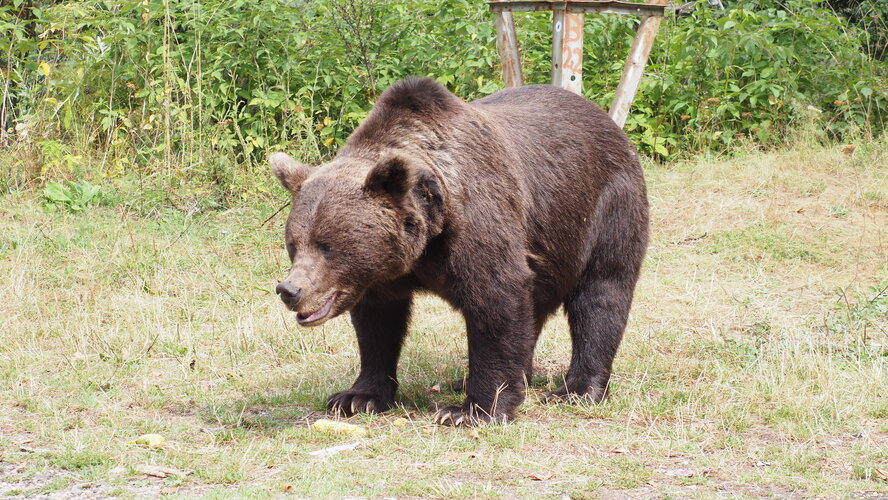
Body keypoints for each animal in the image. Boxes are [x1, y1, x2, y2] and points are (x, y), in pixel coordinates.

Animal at [268, 78, 644, 426]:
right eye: (294, 244)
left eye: (327, 246)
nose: (290, 290)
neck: (426, 238)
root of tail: (606, 119)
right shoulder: (381, 277)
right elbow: (377, 325)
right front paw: (357, 397)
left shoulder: (477, 222)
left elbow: (496, 301)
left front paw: (473, 410)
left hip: (605, 208)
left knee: (601, 293)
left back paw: (578, 389)